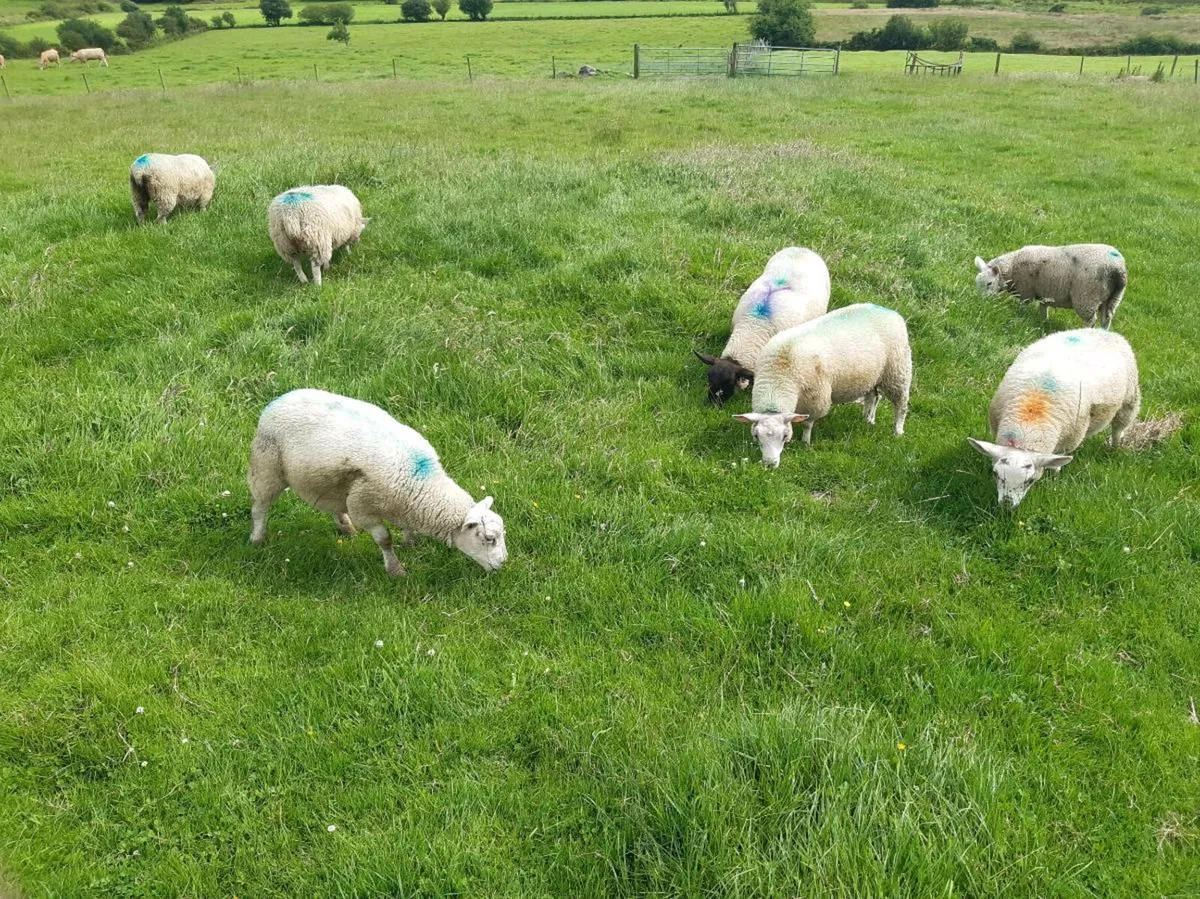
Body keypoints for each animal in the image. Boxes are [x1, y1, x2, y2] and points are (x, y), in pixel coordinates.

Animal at [248, 389, 508, 576]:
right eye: (489, 539)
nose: (502, 564)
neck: (421, 483)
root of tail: (279, 400)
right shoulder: (364, 508)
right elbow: (384, 539)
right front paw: (396, 570)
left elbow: (408, 529)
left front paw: (411, 543)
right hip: (267, 467)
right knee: (260, 507)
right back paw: (257, 539)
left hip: (328, 481)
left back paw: (345, 527)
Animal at [734, 304, 911, 467]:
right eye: (756, 436)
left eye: (785, 436)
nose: (770, 464)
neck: (779, 375)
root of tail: (889, 311)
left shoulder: (816, 399)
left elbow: (807, 423)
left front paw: (805, 443)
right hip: (872, 375)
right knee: (873, 397)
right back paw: (868, 419)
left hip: (897, 370)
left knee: (901, 405)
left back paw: (898, 431)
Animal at [968, 328, 1139, 508]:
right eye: (995, 473)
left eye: (1030, 480)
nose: (1007, 505)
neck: (1029, 419)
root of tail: (1104, 331)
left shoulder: (1069, 439)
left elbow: (1058, 460)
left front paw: (1055, 477)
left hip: (1130, 399)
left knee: (1118, 428)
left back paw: (1114, 448)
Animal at [974, 244, 1128, 329]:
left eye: (989, 283)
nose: (982, 302)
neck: (1012, 266)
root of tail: (1118, 269)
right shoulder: (1045, 293)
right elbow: (1043, 309)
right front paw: (1042, 321)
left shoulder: (1026, 292)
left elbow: (1023, 307)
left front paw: (1021, 316)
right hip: (1112, 298)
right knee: (1106, 319)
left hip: (1087, 296)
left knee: (1091, 320)